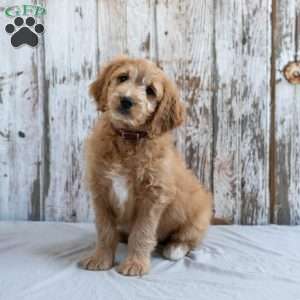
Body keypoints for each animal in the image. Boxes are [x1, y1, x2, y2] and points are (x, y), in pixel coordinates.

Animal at [78, 56, 212, 276]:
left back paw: (175, 248)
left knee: (189, 239)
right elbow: (105, 230)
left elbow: (142, 233)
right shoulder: (101, 190)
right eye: (123, 77)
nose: (126, 100)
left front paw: (135, 264)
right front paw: (100, 259)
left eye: (150, 90)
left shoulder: (153, 196)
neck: (128, 138)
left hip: (199, 216)